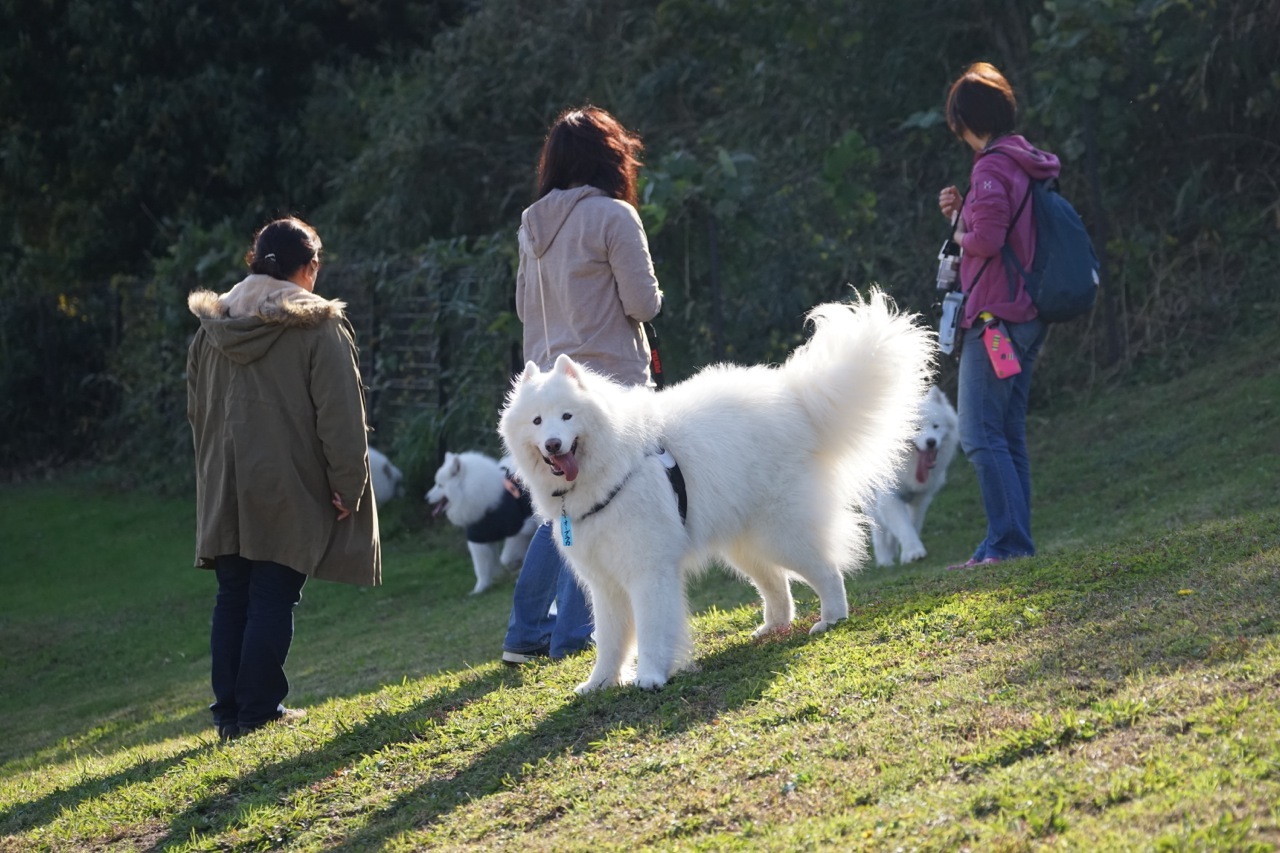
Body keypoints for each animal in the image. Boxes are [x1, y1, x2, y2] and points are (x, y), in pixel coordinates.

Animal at [424, 450, 535, 591]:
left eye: (440, 485)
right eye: (436, 484)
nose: (426, 497)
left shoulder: (520, 529)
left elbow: (505, 558)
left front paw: (515, 567)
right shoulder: (479, 537)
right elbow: (482, 567)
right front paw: (481, 587)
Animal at [496, 290, 931, 691]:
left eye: (567, 416)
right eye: (537, 421)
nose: (553, 445)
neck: (611, 468)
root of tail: (795, 401)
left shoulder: (648, 571)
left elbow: (652, 630)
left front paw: (651, 677)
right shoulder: (605, 583)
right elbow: (611, 638)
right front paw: (600, 682)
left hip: (780, 533)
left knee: (826, 571)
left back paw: (831, 618)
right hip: (745, 543)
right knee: (777, 586)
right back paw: (773, 627)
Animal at [865, 384, 957, 563]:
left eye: (936, 426)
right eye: (916, 428)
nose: (931, 442)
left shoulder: (920, 497)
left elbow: (912, 524)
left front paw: (910, 551)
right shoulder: (889, 498)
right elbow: (903, 526)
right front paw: (913, 552)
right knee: (880, 531)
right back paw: (885, 560)